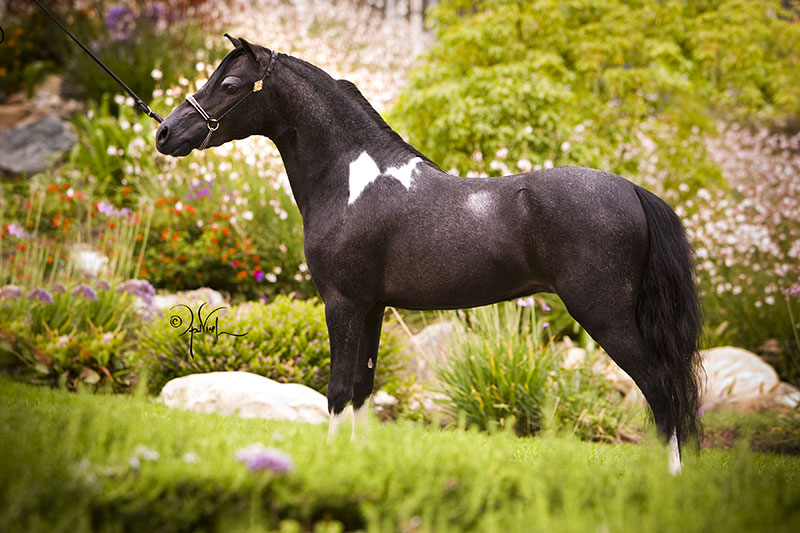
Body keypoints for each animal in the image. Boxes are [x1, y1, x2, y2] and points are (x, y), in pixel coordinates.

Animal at [155, 35, 702, 474]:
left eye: (230, 85)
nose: (165, 133)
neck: (352, 181)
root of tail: (632, 190)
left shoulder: (342, 304)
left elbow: (336, 390)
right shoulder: (372, 307)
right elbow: (362, 387)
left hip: (605, 315)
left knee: (661, 388)